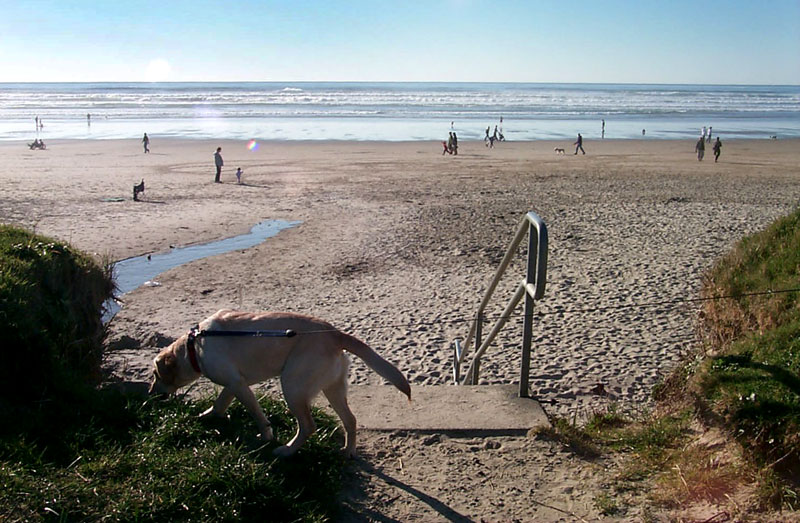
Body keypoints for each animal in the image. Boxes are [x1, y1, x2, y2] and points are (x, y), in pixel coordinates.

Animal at [151, 312, 412, 458]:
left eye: (155, 375)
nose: (150, 395)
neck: (193, 348)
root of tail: (336, 334)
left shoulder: (238, 384)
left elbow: (257, 414)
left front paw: (266, 435)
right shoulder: (236, 382)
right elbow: (219, 403)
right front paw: (205, 416)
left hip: (292, 386)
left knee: (308, 426)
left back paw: (286, 450)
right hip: (333, 389)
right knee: (350, 420)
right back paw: (348, 452)